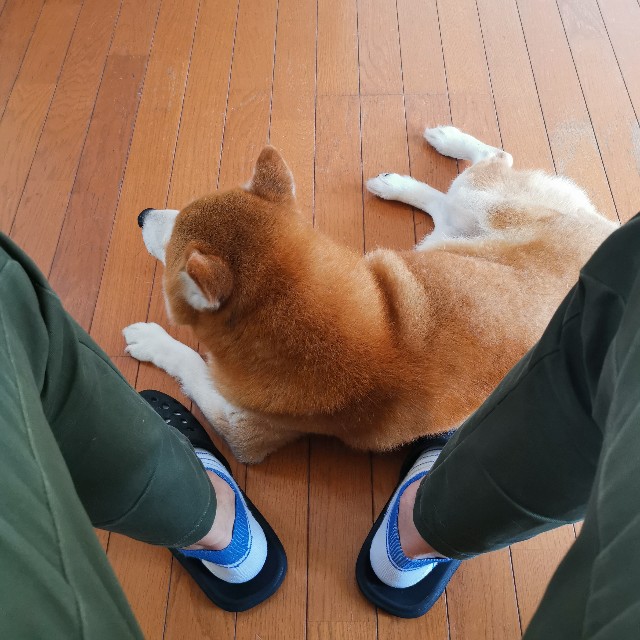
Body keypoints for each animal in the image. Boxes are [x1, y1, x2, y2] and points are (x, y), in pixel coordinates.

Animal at [124, 126, 617, 463]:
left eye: (172, 242)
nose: (142, 213)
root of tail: (607, 230)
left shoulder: (244, 431)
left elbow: (189, 361)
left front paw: (150, 340)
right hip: (449, 236)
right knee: (448, 202)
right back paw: (402, 176)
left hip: (483, 203)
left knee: (496, 158)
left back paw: (444, 146)